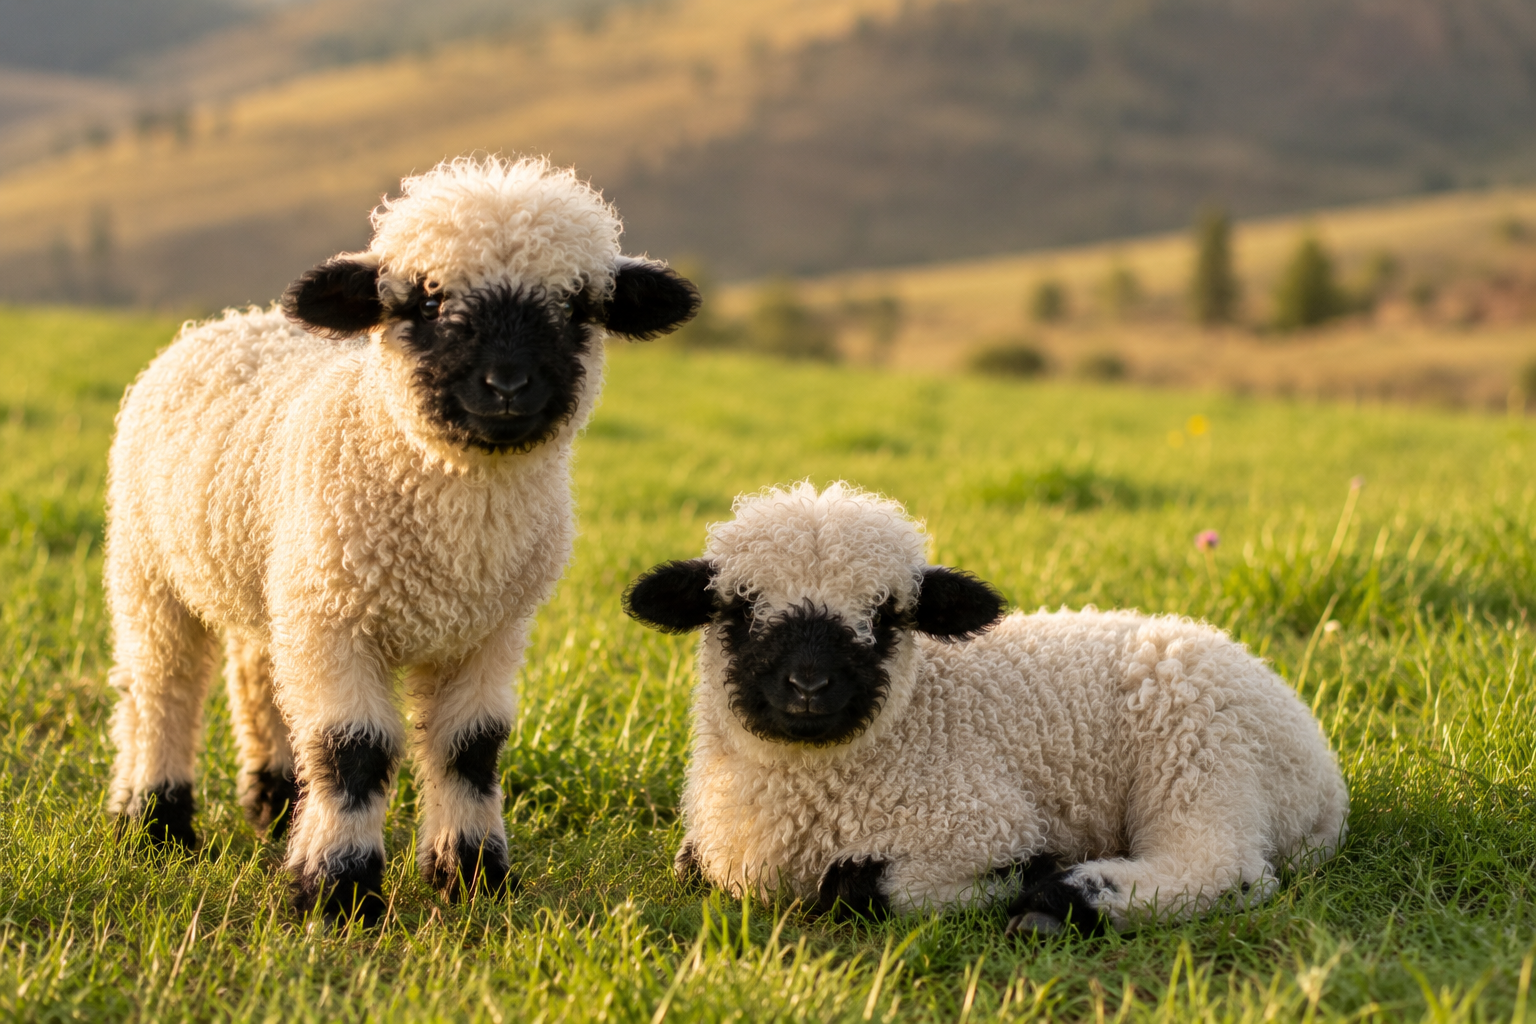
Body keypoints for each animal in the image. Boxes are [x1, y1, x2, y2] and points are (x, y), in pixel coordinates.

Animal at [105, 155, 699, 924]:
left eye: (577, 308)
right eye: (425, 301)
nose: (507, 385)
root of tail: (237, 321)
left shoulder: (487, 632)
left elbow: (470, 750)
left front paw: (473, 875)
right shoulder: (339, 624)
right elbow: (351, 752)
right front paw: (339, 890)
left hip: (277, 579)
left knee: (258, 678)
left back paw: (274, 802)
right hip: (151, 568)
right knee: (162, 688)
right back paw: (156, 820)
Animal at [624, 482, 1348, 935]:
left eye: (888, 618)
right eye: (738, 610)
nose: (807, 684)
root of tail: (1324, 781)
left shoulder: (979, 819)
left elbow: (857, 887)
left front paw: (1028, 874)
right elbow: (689, 864)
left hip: (1203, 753)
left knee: (1223, 870)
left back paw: (1062, 900)